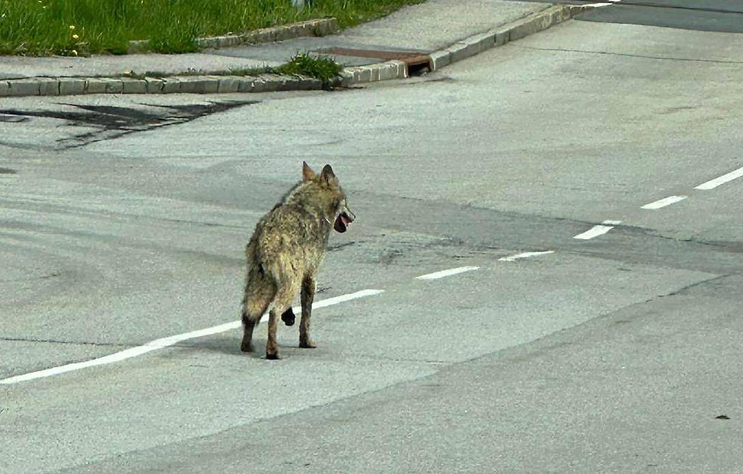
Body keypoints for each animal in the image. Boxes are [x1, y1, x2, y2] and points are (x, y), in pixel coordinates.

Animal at [240, 162, 355, 359]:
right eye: (345, 201)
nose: (354, 216)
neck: (310, 204)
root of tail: (266, 237)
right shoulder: (310, 276)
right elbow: (306, 319)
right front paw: (306, 342)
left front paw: (289, 317)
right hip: (290, 284)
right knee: (273, 313)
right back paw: (272, 352)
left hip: (260, 284)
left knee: (249, 316)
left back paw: (247, 347)